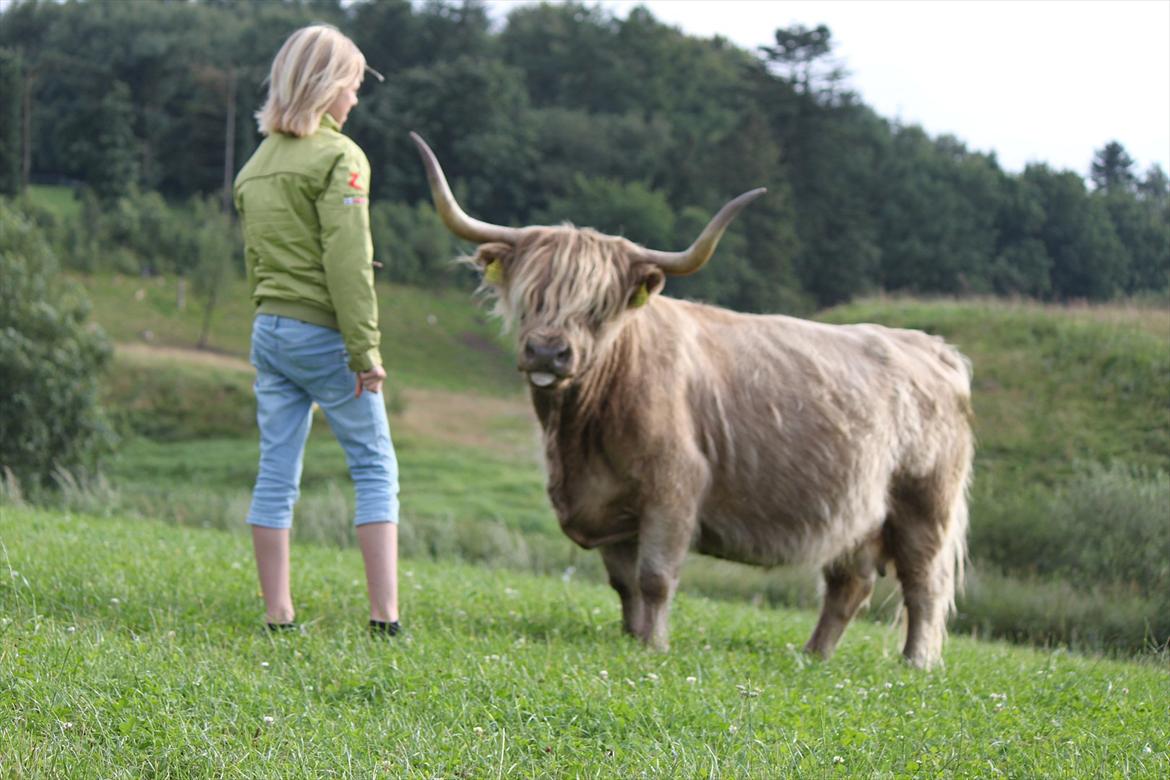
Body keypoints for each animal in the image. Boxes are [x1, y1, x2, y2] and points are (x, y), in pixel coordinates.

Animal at [410, 132, 974, 669]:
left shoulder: (674, 488)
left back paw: (915, 663)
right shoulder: (612, 507)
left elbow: (656, 577)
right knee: (848, 586)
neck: (579, 436)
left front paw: (654, 646)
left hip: (924, 507)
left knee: (924, 586)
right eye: (531, 295)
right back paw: (814, 655)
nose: (548, 351)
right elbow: (625, 584)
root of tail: (935, 349)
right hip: (858, 518)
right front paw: (631, 637)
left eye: (597, 308)